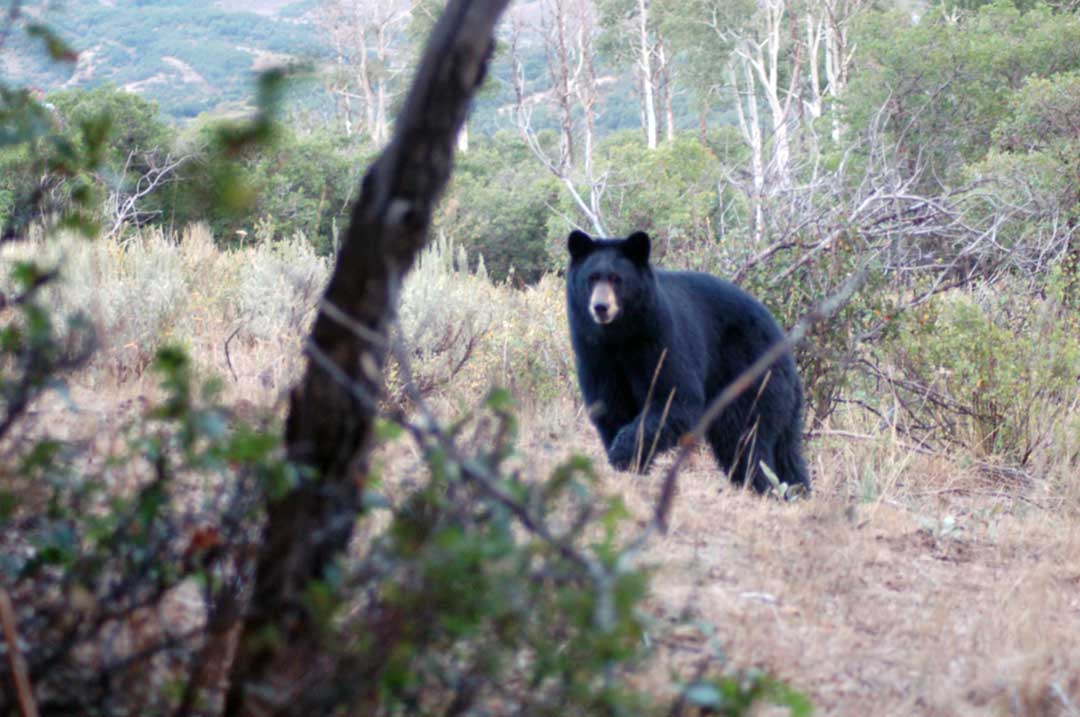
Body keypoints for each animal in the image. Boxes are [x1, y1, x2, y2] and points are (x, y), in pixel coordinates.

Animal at [570, 230, 807, 492]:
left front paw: (622, 453)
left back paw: (760, 486)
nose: (600, 307)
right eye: (591, 278)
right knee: (787, 451)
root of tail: (784, 344)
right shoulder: (595, 354)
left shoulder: (660, 338)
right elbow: (609, 405)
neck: (620, 336)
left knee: (743, 437)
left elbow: (676, 398)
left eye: (616, 279)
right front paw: (631, 463)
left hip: (751, 374)